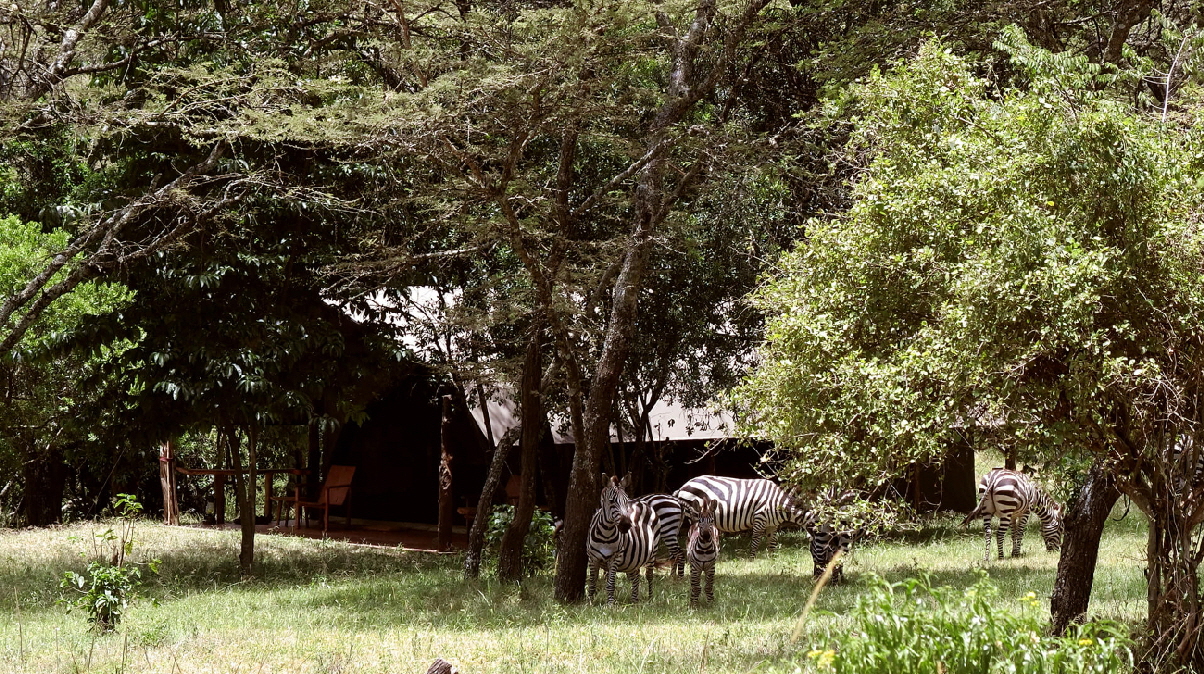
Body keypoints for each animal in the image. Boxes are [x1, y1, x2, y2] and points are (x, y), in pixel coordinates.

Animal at [587, 474, 664, 606]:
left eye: (626, 501)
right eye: (611, 501)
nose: (626, 525)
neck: (606, 534)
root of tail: (641, 501)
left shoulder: (615, 557)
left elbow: (610, 584)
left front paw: (610, 604)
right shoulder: (593, 558)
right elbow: (592, 583)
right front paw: (590, 603)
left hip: (652, 552)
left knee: (649, 576)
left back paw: (650, 600)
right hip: (633, 559)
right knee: (636, 575)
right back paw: (634, 600)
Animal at [674, 476, 813, 556]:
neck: (776, 503)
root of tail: (683, 486)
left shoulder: (772, 524)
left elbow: (772, 543)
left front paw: (773, 559)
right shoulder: (759, 518)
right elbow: (756, 541)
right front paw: (752, 560)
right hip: (695, 516)